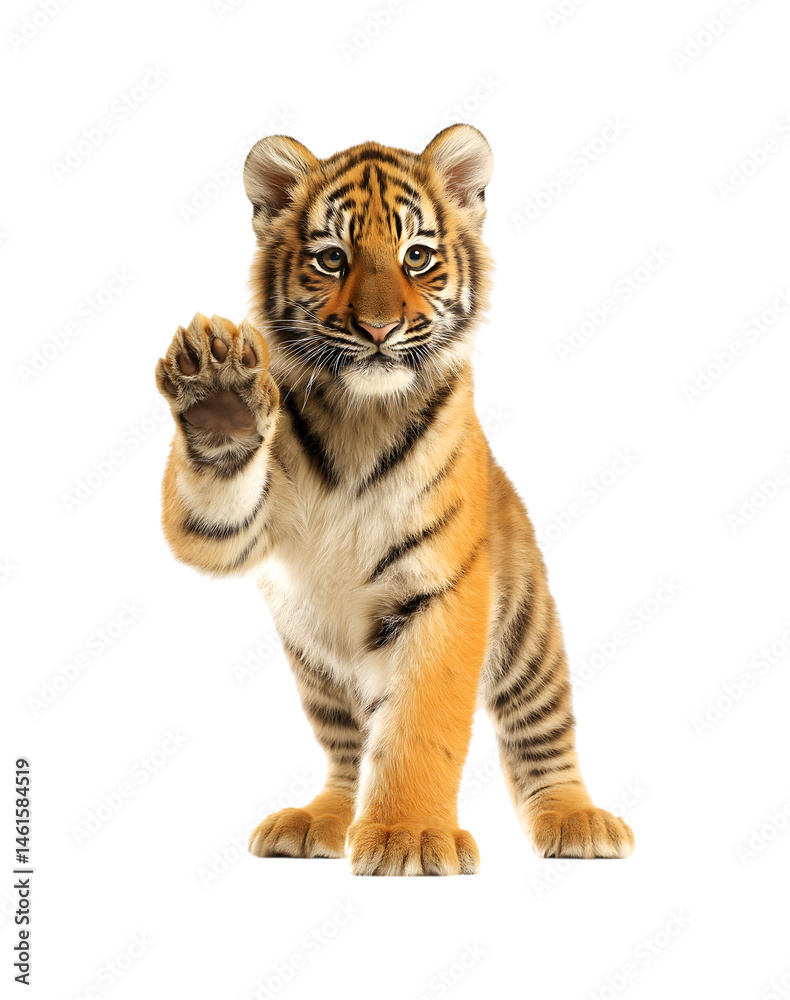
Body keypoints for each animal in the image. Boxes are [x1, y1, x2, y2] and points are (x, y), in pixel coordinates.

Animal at [154, 124, 635, 876]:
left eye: (417, 257)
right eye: (332, 258)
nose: (378, 329)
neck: (364, 413)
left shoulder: (442, 593)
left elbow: (419, 727)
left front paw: (408, 835)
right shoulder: (239, 531)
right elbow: (215, 515)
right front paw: (220, 396)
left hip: (527, 633)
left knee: (542, 734)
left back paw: (577, 822)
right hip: (316, 660)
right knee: (348, 751)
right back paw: (321, 821)